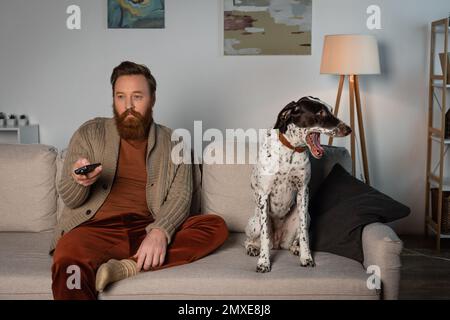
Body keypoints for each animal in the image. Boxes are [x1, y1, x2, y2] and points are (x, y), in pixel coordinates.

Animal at [244, 95, 354, 272]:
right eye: (320, 113)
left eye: (330, 109)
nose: (348, 129)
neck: (291, 149)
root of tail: (278, 242)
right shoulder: (264, 194)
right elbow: (264, 237)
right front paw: (264, 262)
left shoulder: (303, 191)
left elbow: (304, 235)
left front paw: (306, 256)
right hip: (254, 223)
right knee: (252, 240)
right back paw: (253, 248)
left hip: (306, 217)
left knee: (291, 241)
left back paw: (295, 248)